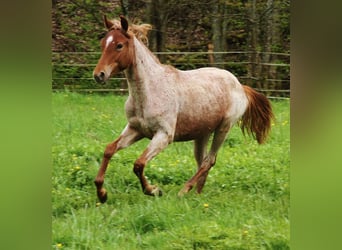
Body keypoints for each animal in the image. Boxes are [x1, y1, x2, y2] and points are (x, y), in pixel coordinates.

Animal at [92, 15, 274, 203]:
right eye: (103, 43)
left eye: (119, 45)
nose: (99, 75)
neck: (149, 92)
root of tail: (240, 86)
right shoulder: (135, 129)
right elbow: (109, 150)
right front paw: (102, 194)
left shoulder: (164, 135)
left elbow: (139, 164)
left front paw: (154, 190)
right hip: (202, 134)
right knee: (202, 161)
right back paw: (197, 194)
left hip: (224, 128)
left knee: (209, 161)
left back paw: (184, 191)